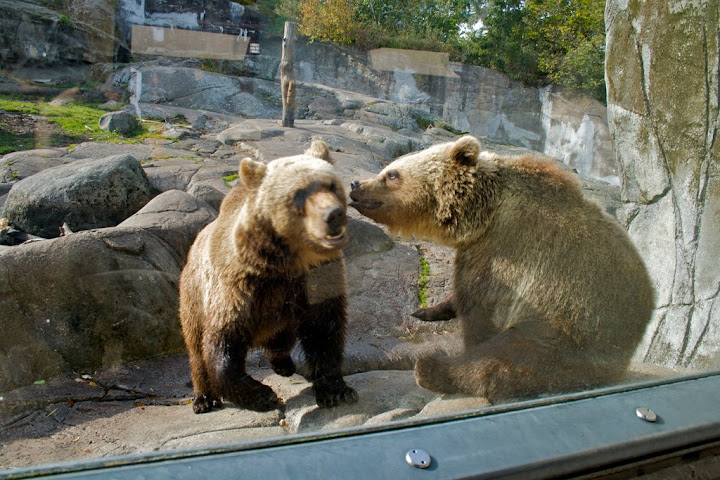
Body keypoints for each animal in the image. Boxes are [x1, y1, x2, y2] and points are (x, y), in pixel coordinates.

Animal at [179, 140, 358, 413]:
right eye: (298, 193)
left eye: (331, 185)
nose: (334, 214)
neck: (287, 262)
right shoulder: (238, 286)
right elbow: (222, 342)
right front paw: (263, 395)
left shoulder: (317, 278)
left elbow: (323, 332)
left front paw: (336, 390)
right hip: (193, 294)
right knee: (196, 347)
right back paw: (204, 398)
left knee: (281, 336)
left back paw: (284, 364)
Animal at [349, 135, 654, 403]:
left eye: (392, 174)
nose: (355, 184)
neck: (483, 213)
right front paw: (426, 310)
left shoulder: (505, 255)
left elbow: (481, 314)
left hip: (573, 328)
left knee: (511, 358)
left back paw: (431, 369)